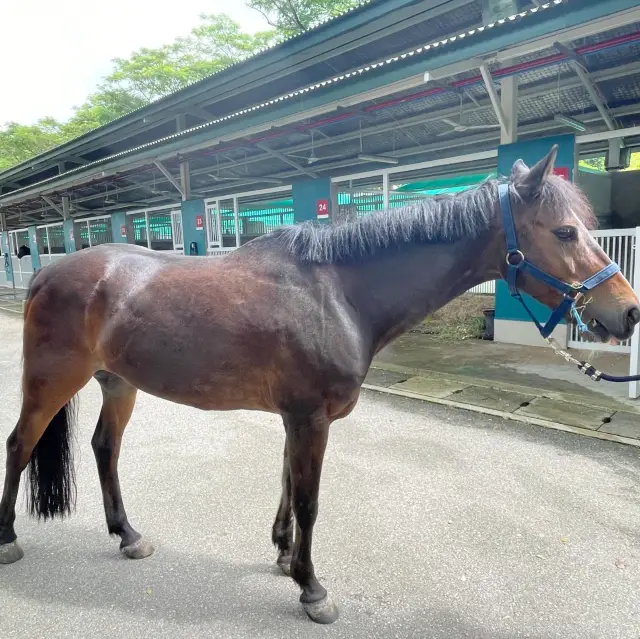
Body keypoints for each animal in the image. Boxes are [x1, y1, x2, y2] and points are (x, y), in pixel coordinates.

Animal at [1, 146, 640, 624]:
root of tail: (48, 274)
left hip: (118, 384)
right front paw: (311, 588)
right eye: (565, 232)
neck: (337, 292)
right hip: (51, 380)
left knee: (104, 449)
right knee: (20, 445)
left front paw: (286, 557)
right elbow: (309, 500)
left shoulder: (297, 418)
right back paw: (8, 538)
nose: (628, 312)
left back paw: (128, 535)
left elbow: (288, 486)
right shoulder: (309, 418)